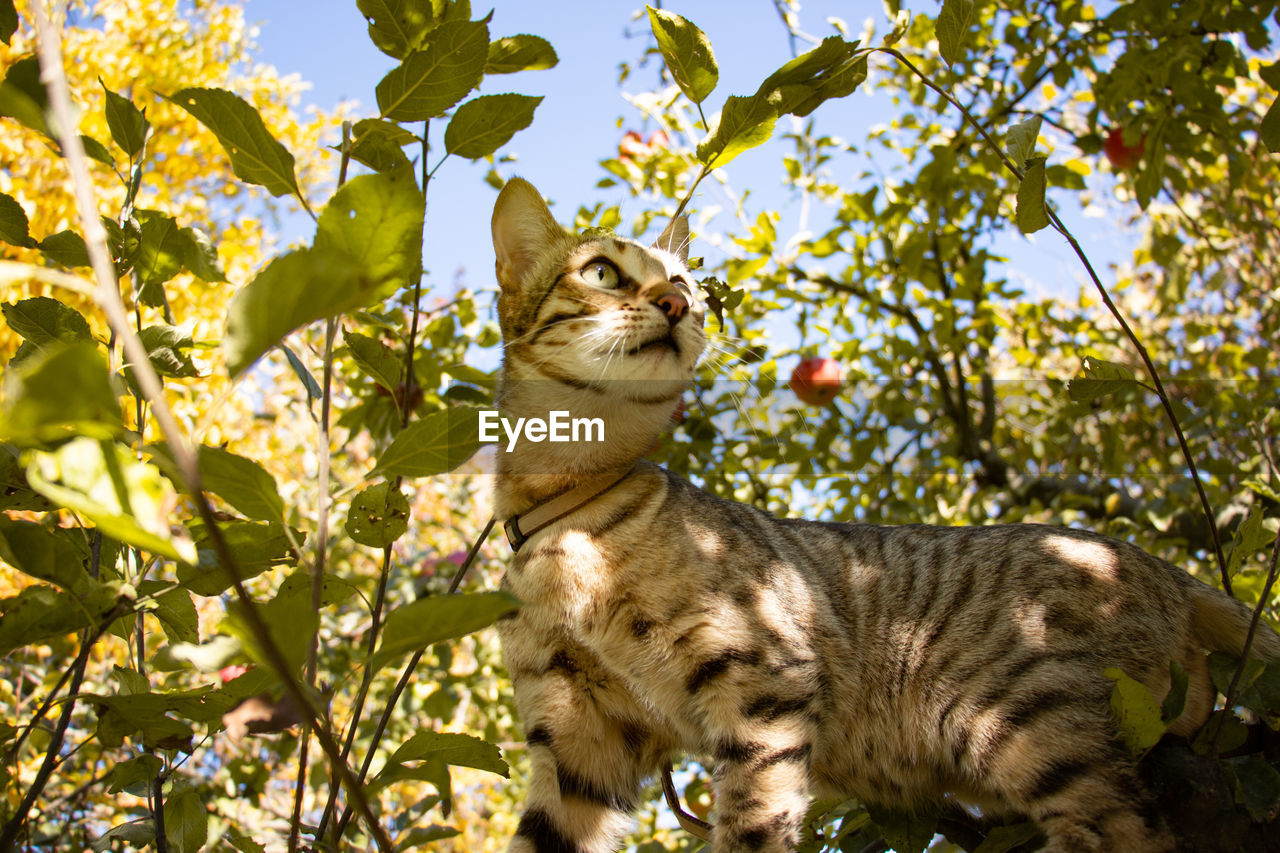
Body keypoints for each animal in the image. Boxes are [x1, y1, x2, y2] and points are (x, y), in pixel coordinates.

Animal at [486, 174, 1280, 850]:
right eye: (601, 273)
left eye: (682, 283)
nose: (677, 304)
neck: (567, 520)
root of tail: (1161, 568)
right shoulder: (575, 739)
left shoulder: (762, 679)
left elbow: (752, 824)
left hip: (1019, 712)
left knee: (1123, 828)